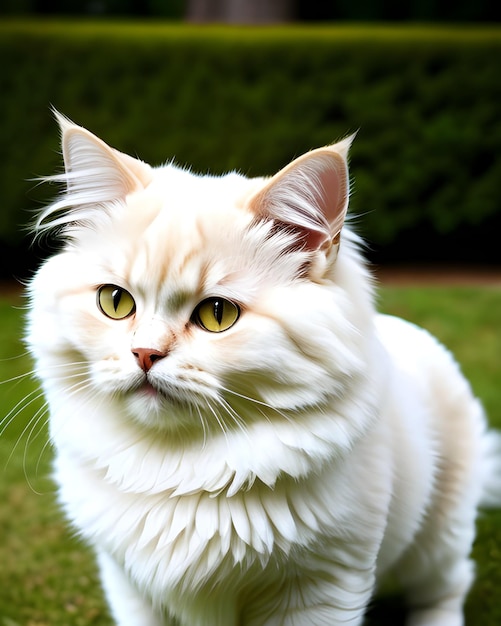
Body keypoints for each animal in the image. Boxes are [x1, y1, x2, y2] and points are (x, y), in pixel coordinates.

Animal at [26, 113, 500, 624]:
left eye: (217, 315)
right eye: (115, 302)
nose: (145, 354)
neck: (177, 469)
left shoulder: (323, 588)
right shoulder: (129, 585)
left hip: (437, 540)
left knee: (446, 588)